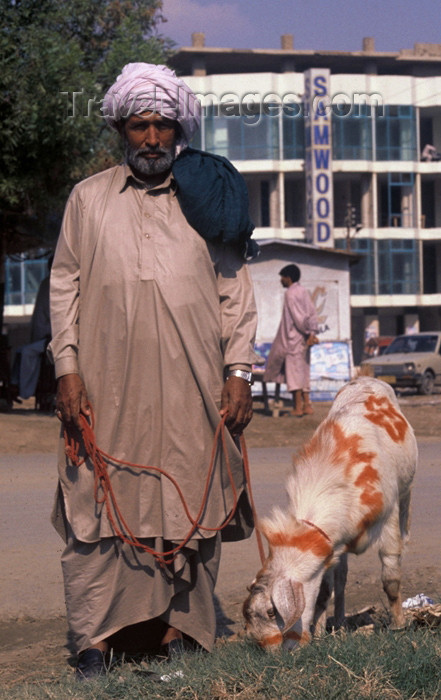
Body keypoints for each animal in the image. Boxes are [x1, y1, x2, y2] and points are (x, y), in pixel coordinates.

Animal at [242, 378, 418, 652]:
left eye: (272, 611)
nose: (272, 651)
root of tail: (366, 378)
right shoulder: (333, 544)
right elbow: (327, 589)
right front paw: (321, 632)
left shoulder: (387, 517)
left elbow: (390, 576)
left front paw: (398, 625)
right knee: (342, 581)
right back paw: (340, 623)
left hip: (405, 493)